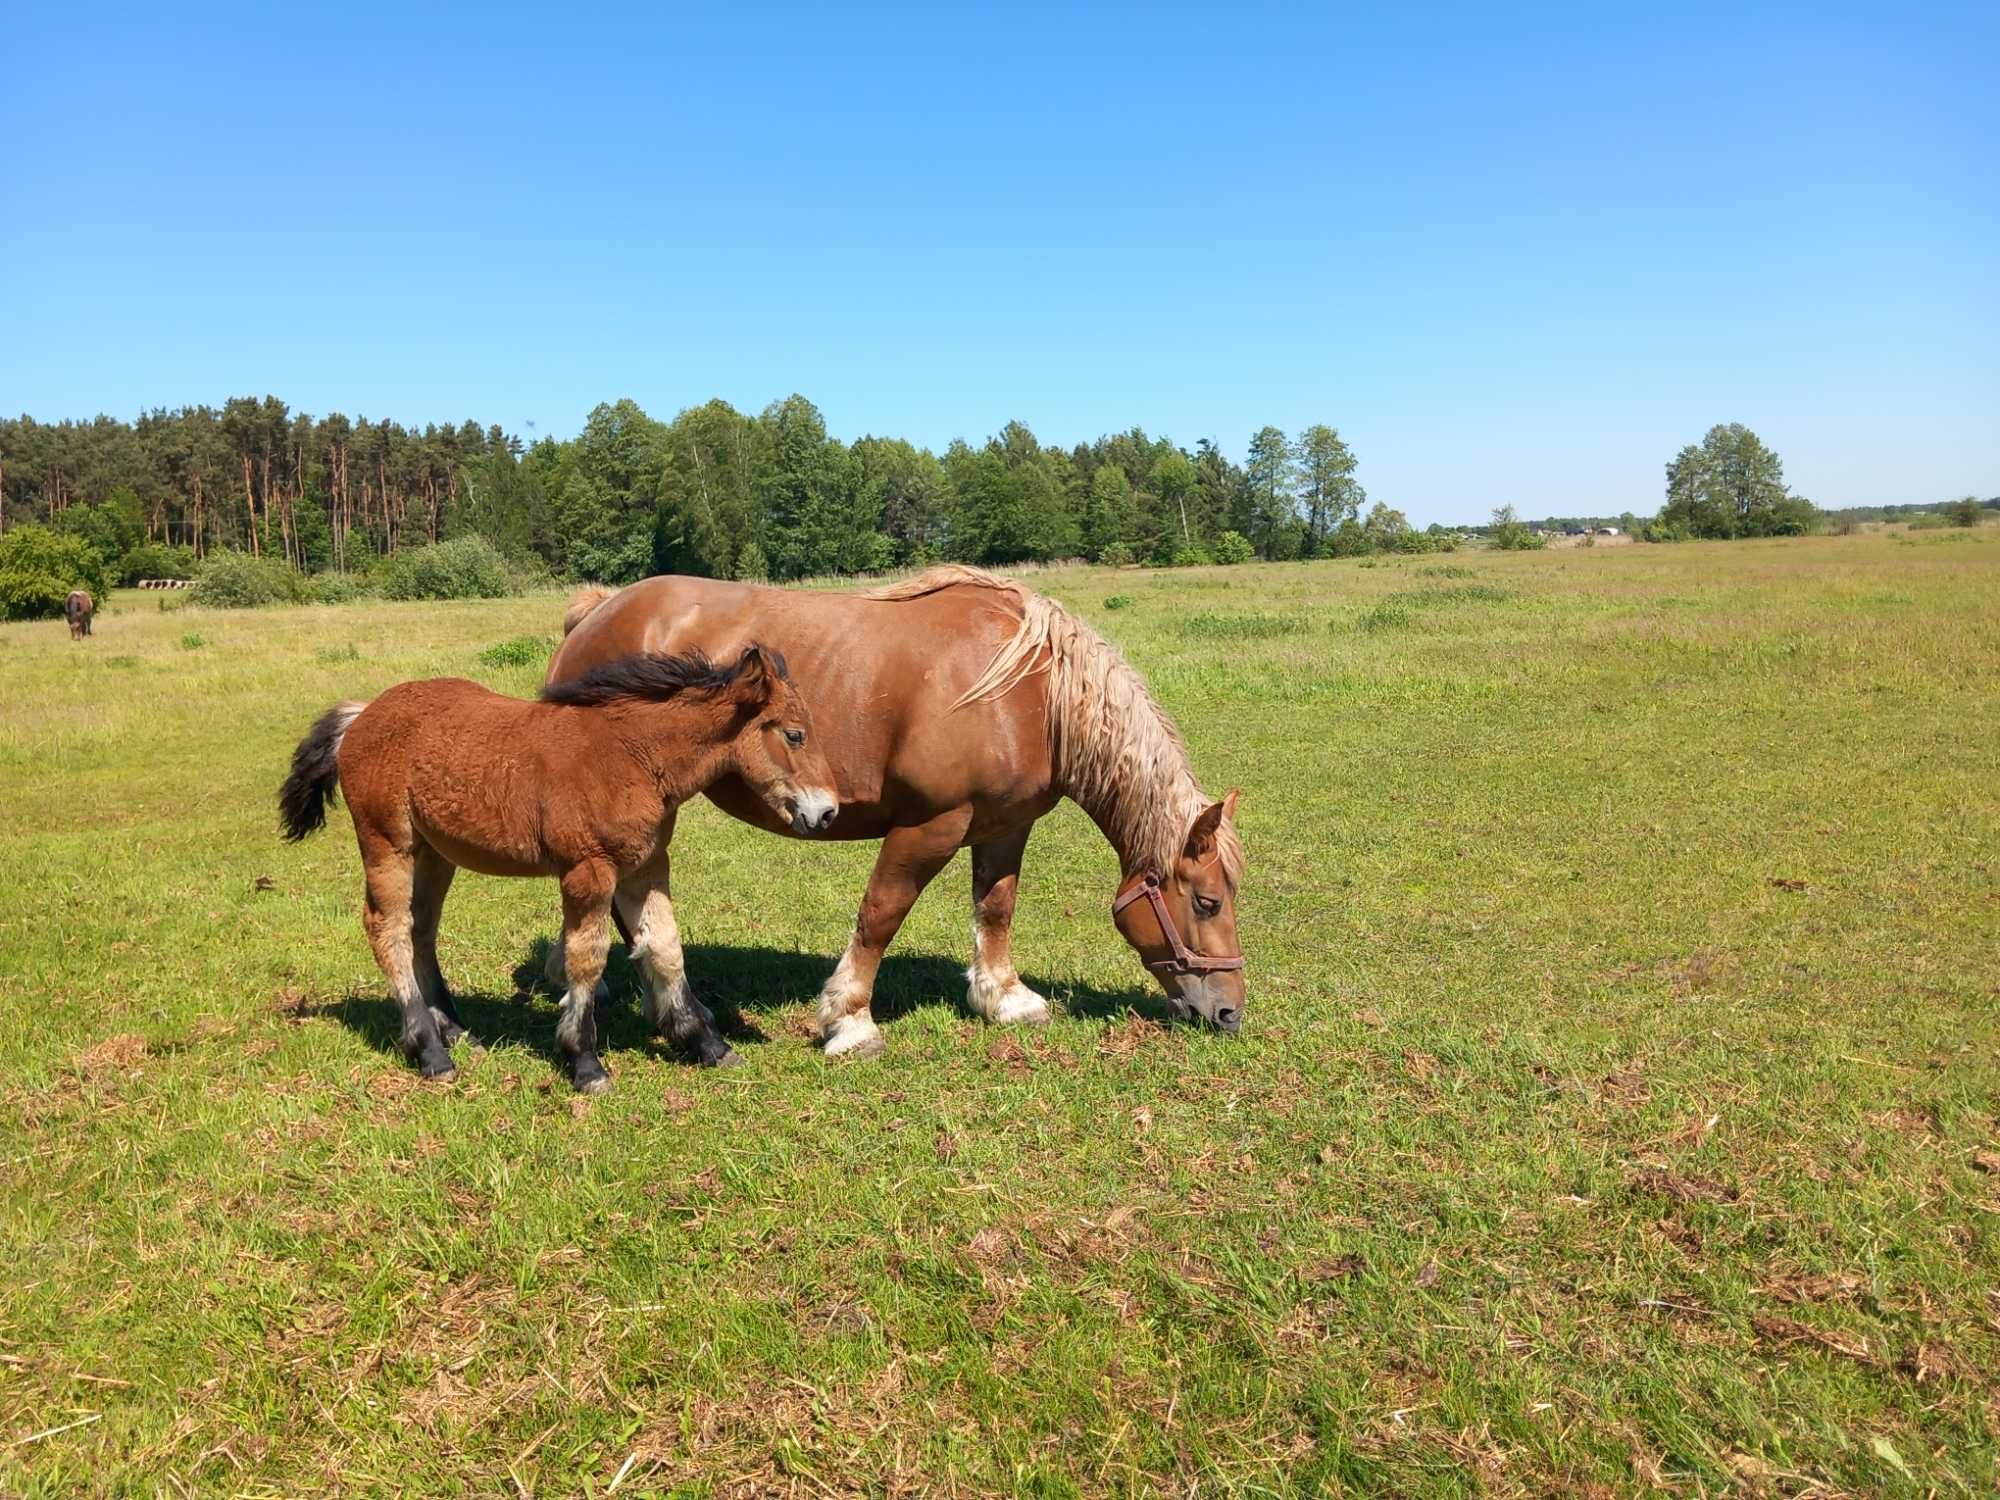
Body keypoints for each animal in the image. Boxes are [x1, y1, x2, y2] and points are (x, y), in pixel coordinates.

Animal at [280, 648, 836, 1096]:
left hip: (436, 853)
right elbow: (586, 959)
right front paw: (584, 1062)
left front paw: (707, 1044)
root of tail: (362, 714)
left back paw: (453, 1029)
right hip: (386, 843)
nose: (827, 812)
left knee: (422, 930)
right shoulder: (587, 871)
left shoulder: (646, 865)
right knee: (388, 928)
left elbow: (665, 947)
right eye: (794, 734)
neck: (629, 756)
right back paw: (430, 1052)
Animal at [540, 568, 1240, 1064]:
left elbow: (996, 908)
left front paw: (1005, 998)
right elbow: (881, 914)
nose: (1230, 1012)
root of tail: (596, 612)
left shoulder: (1006, 824)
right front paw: (849, 1021)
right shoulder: (931, 825)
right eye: (1207, 902)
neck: (1027, 694)